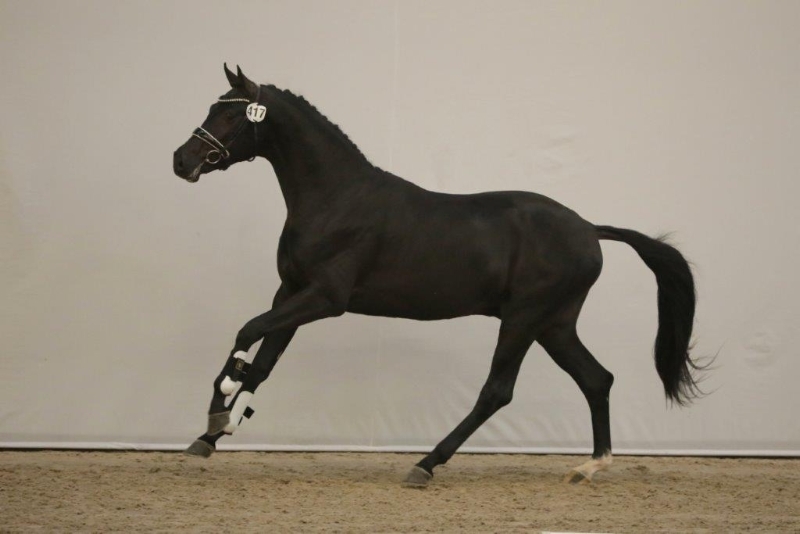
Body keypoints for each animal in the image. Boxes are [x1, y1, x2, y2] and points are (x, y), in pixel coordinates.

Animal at [172, 64, 702, 486]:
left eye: (231, 115)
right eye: (214, 108)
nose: (182, 160)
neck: (338, 198)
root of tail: (590, 229)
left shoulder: (325, 297)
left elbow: (247, 331)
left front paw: (220, 410)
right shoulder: (292, 291)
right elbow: (263, 361)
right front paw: (210, 435)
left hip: (524, 320)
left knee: (498, 391)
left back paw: (426, 464)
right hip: (555, 324)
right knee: (597, 379)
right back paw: (590, 466)